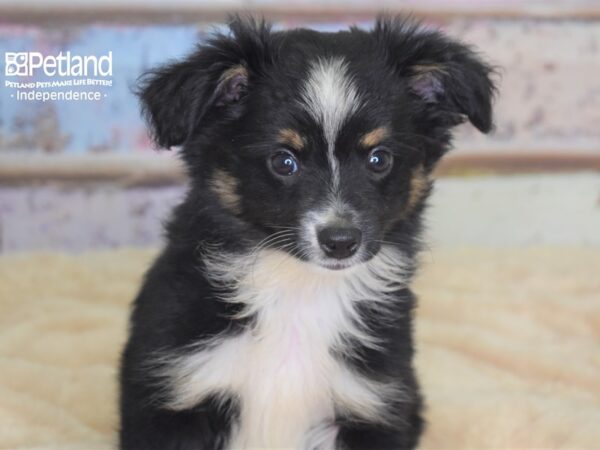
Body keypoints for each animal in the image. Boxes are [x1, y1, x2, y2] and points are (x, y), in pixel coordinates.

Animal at [119, 14, 494, 450]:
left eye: (379, 159)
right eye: (284, 161)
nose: (340, 241)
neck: (299, 292)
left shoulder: (372, 403)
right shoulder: (176, 393)